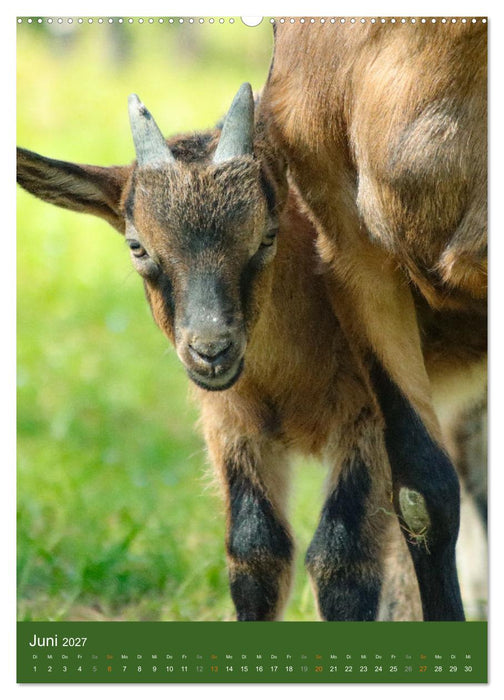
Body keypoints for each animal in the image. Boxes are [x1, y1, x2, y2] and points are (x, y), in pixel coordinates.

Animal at [17, 77, 485, 620]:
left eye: (266, 235)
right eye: (137, 246)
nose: (211, 349)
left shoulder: (368, 418)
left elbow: (342, 557)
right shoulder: (230, 422)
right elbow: (255, 550)